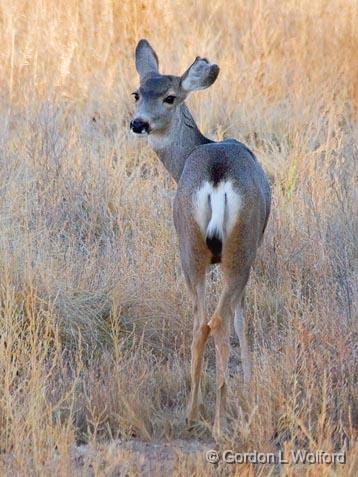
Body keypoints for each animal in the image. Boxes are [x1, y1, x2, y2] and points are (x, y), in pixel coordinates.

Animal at [130, 39, 270, 436]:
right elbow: (241, 319)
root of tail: (216, 176)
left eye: (169, 97)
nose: (138, 123)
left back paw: (192, 414)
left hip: (188, 246)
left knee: (199, 325)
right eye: (137, 93)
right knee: (219, 322)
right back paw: (221, 420)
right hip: (240, 247)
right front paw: (250, 384)